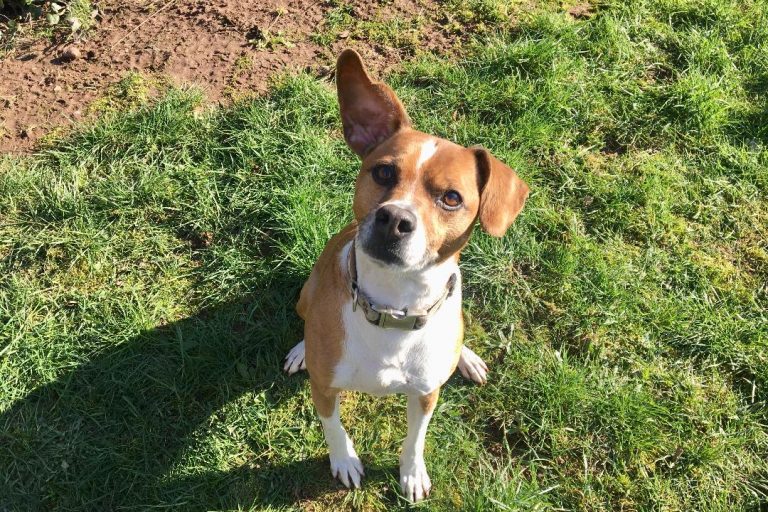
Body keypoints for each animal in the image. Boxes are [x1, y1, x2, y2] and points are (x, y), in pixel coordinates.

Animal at [283, 49, 529, 502]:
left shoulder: (427, 393)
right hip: (306, 292)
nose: (395, 219)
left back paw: (466, 357)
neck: (394, 308)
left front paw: (412, 474)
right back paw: (299, 351)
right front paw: (344, 461)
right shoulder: (324, 390)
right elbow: (333, 427)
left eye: (451, 198)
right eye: (383, 172)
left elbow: (416, 438)